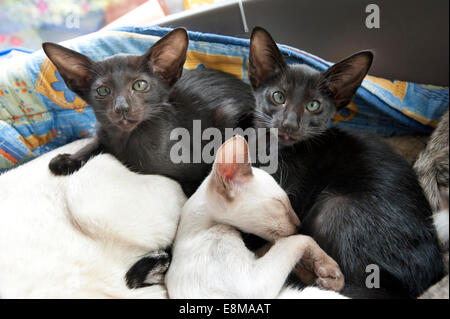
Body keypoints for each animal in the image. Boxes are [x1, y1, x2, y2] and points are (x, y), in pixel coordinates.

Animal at [44, 28, 255, 196]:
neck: (124, 141)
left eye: (140, 85)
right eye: (103, 91)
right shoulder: (104, 133)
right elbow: (93, 144)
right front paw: (67, 160)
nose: (122, 107)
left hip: (226, 113)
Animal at [167, 136, 346, 300]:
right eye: (280, 204)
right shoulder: (253, 283)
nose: (298, 224)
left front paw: (322, 271)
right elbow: (300, 239)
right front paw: (322, 267)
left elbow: (275, 245)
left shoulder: (255, 259)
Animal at [248, 27, 444, 300]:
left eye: (313, 105)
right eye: (278, 97)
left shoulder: (293, 199)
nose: (289, 125)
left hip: (334, 208)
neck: (272, 149)